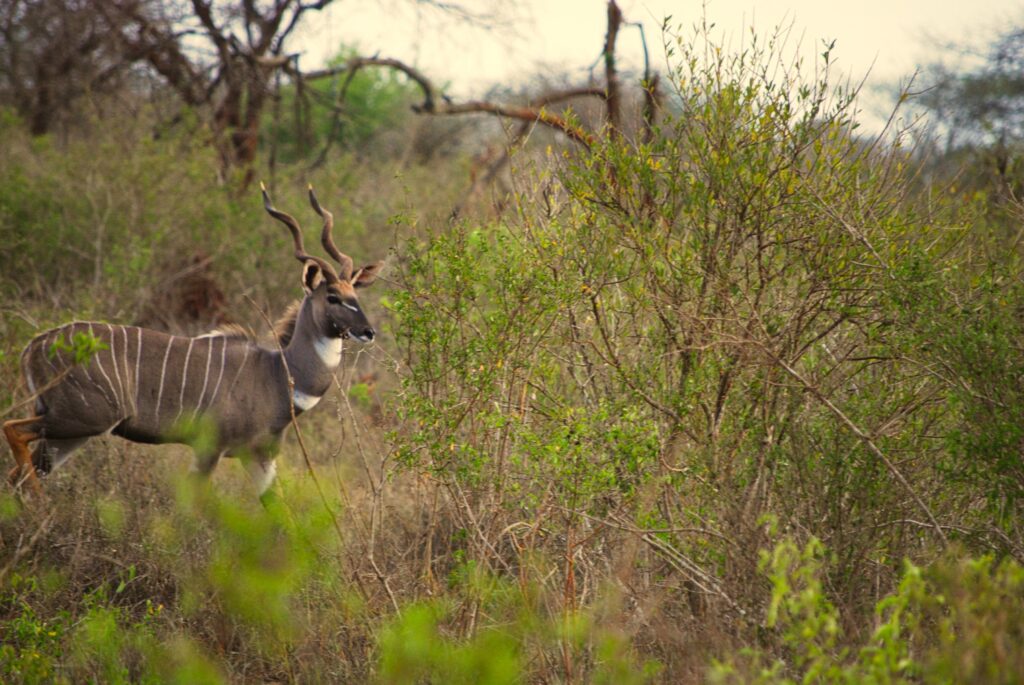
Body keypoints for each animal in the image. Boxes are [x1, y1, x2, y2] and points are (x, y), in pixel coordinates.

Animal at [4, 184, 380, 499]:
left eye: (355, 294)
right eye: (332, 296)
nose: (368, 331)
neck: (277, 374)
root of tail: (33, 348)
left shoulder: (259, 457)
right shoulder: (208, 448)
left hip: (73, 431)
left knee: (18, 475)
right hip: (80, 418)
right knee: (13, 433)